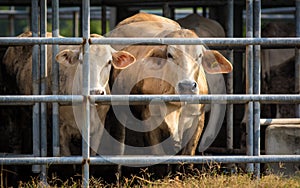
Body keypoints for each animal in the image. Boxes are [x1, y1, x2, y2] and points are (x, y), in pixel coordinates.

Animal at [2, 30, 136, 156]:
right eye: (81, 61)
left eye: (109, 62)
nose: (95, 92)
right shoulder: (61, 131)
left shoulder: (98, 130)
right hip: (13, 110)